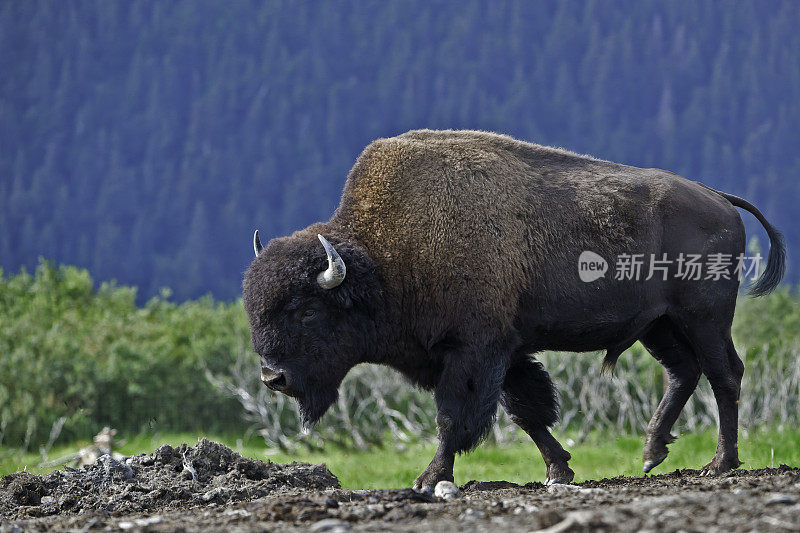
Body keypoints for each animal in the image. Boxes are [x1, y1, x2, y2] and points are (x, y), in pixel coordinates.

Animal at [242, 129, 780, 490]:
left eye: (308, 312)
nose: (273, 377)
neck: (383, 259)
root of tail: (718, 198)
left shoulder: (473, 352)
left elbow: (455, 418)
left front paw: (428, 479)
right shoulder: (507, 352)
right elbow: (528, 412)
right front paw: (559, 471)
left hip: (705, 318)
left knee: (724, 376)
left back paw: (719, 465)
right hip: (660, 325)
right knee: (684, 372)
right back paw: (652, 454)